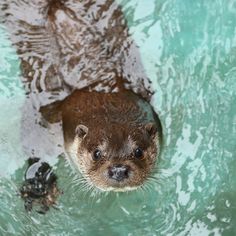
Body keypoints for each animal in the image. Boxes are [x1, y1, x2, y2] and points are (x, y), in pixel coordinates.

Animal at [0, 0, 162, 203]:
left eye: (138, 151)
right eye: (96, 153)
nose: (118, 170)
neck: (100, 92)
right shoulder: (46, 116)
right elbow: (34, 146)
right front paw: (38, 186)